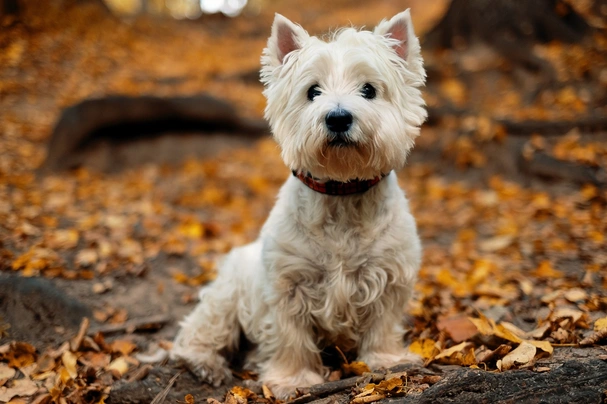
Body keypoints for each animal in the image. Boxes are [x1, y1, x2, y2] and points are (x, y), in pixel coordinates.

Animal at [171, 11, 428, 400]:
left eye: (369, 89)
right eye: (312, 92)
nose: (338, 117)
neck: (341, 193)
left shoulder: (388, 275)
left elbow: (382, 325)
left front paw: (388, 361)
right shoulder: (286, 284)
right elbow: (290, 337)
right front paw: (292, 380)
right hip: (226, 296)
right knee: (199, 331)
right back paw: (206, 363)